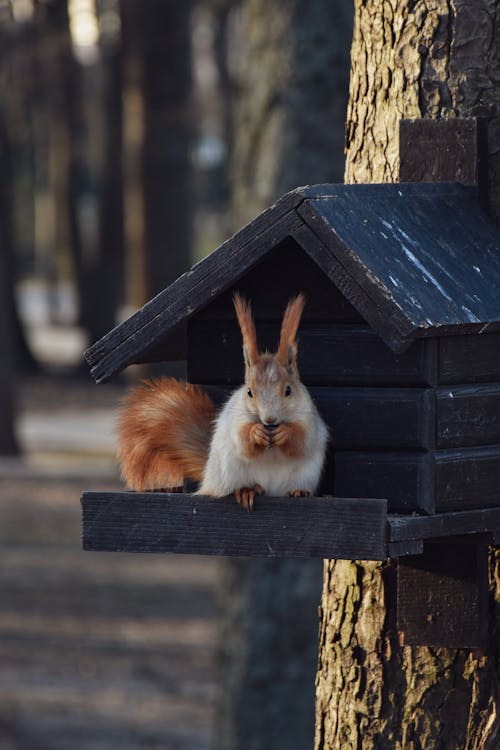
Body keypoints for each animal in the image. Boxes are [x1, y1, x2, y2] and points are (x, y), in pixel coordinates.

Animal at [115, 294, 330, 512]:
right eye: (249, 392)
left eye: (288, 390)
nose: (269, 420)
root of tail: (208, 480)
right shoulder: (236, 418)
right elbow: (243, 440)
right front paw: (256, 432)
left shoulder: (308, 417)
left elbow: (302, 440)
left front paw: (285, 432)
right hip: (228, 471)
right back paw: (247, 490)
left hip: (303, 475)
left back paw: (297, 492)